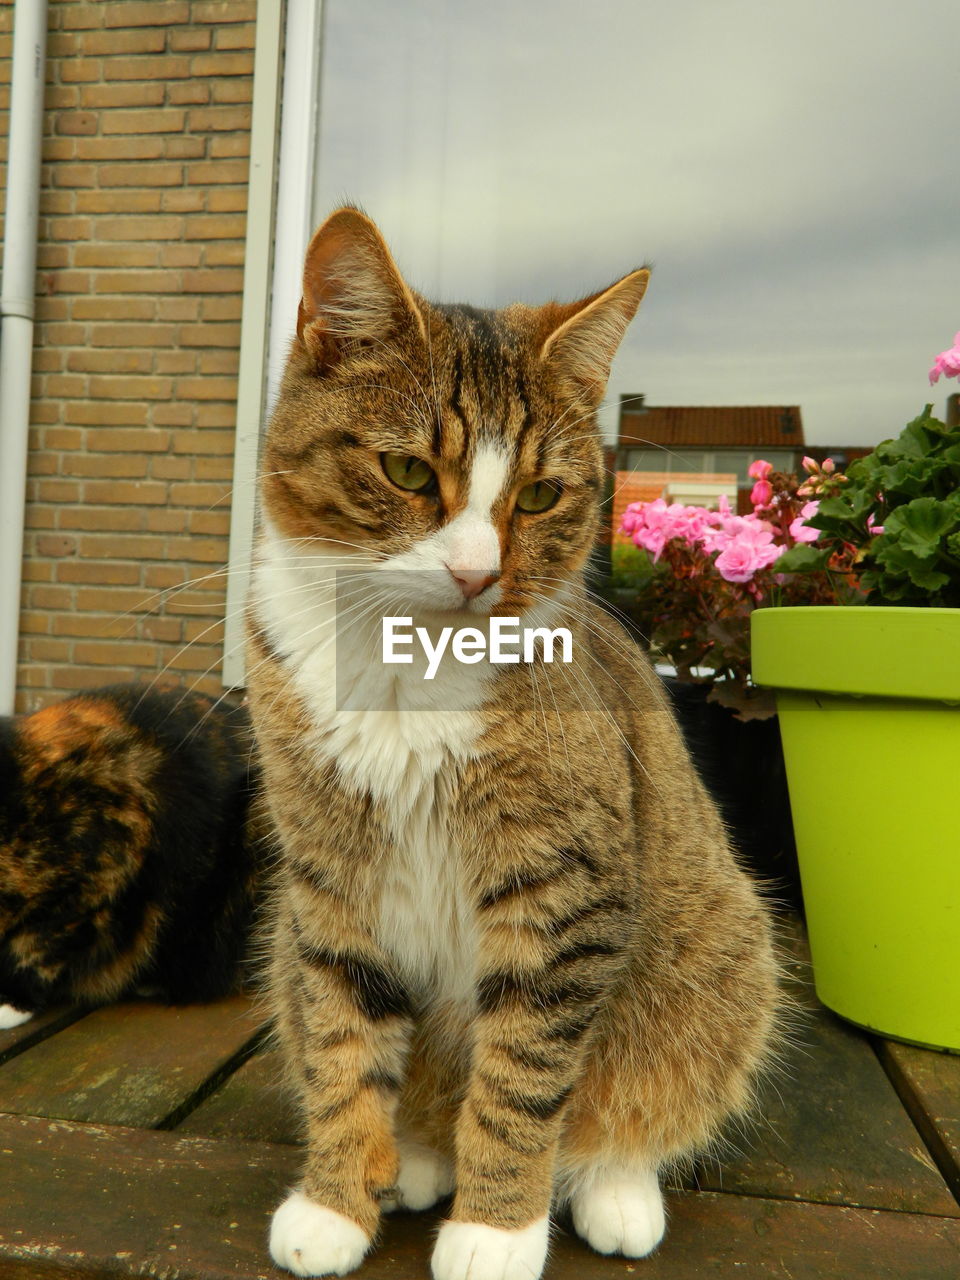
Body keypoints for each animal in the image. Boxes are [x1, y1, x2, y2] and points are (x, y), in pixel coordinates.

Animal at [245, 209, 783, 1280]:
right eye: (410, 472)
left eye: (538, 497)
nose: (475, 574)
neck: (404, 663)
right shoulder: (328, 881)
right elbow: (339, 1039)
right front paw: (334, 1202)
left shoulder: (568, 891)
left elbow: (526, 1074)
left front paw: (495, 1231)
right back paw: (413, 1159)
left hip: (721, 952)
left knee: (632, 1104)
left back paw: (614, 1188)